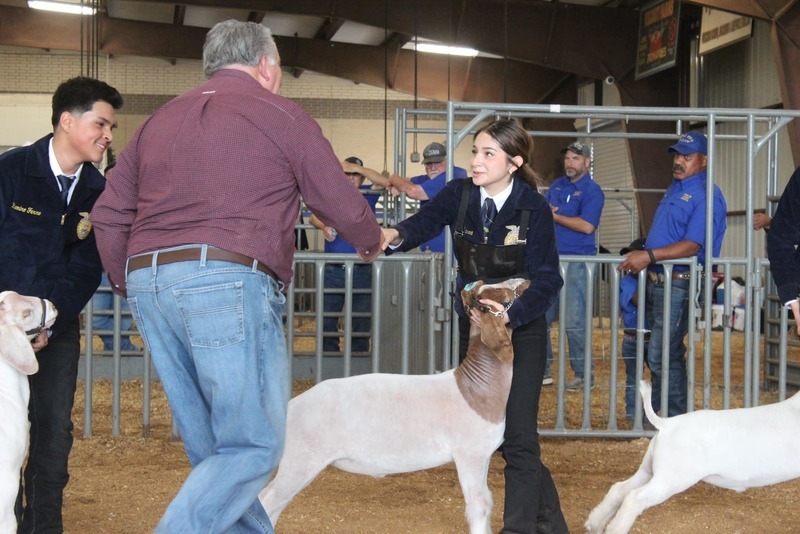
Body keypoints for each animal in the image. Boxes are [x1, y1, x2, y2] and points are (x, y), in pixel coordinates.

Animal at [259, 278, 530, 534]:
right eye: (497, 292)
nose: (523, 280)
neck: (475, 388)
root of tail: (292, 405)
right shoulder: (469, 454)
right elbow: (478, 506)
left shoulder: (484, 455)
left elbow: (488, 500)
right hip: (299, 459)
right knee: (268, 500)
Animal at [585, 380, 800, 534]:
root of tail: (667, 424)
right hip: (672, 478)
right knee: (634, 498)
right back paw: (614, 528)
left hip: (650, 471)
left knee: (619, 489)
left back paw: (593, 525)